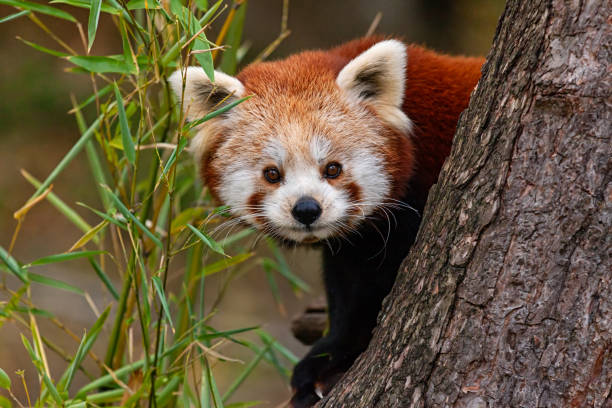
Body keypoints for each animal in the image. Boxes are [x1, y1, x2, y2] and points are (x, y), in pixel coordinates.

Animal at [169, 36, 482, 406]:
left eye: (332, 168)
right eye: (272, 174)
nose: (306, 209)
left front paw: (333, 361)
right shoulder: (356, 245)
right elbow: (349, 287)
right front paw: (329, 356)